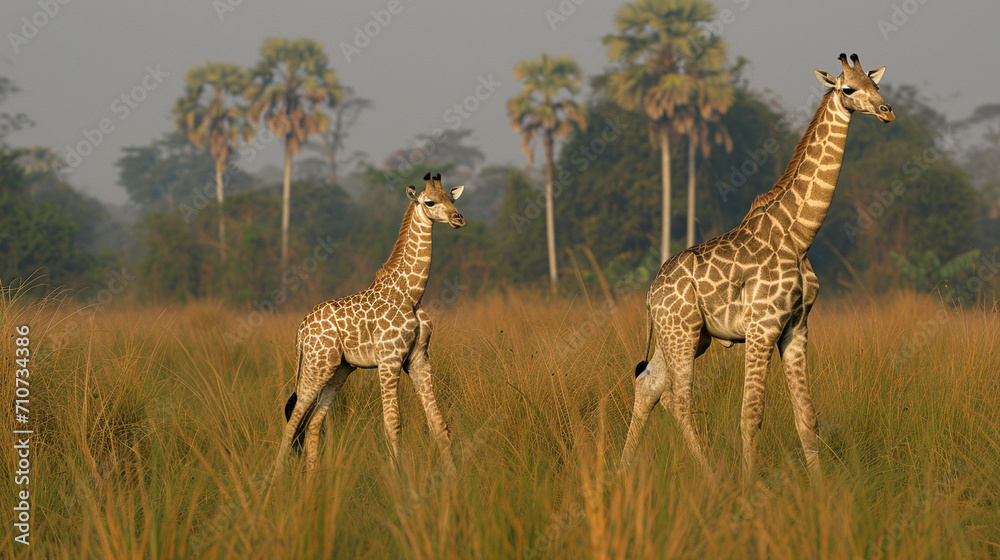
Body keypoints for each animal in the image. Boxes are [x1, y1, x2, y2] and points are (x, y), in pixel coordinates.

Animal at [273, 173, 465, 478]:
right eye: (430, 202)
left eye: (452, 198)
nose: (458, 218)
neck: (412, 294)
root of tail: (301, 329)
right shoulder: (389, 359)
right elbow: (393, 424)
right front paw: (401, 479)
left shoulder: (419, 359)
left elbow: (438, 423)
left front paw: (454, 478)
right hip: (317, 365)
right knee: (294, 418)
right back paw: (276, 479)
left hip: (338, 369)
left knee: (313, 421)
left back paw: (313, 478)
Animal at [620, 54, 894, 484]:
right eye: (848, 88)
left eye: (876, 84)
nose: (887, 111)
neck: (800, 235)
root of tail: (650, 292)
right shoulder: (762, 328)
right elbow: (751, 415)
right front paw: (750, 486)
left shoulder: (796, 328)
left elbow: (807, 418)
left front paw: (819, 487)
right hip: (682, 332)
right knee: (678, 400)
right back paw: (711, 476)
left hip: (684, 336)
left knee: (648, 386)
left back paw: (619, 472)